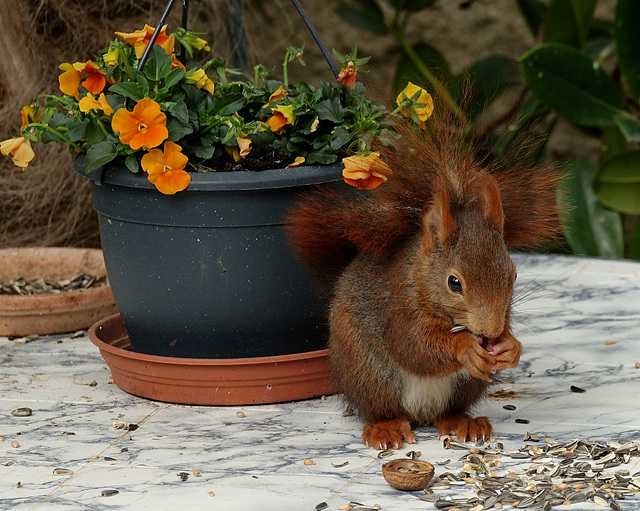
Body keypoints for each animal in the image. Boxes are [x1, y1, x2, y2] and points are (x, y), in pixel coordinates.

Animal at [286, 111, 560, 448]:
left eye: (513, 273)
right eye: (454, 283)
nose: (490, 331)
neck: (421, 278)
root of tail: (420, 414)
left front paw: (510, 346)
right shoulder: (399, 305)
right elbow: (416, 347)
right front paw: (465, 348)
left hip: (463, 387)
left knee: (449, 411)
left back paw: (462, 422)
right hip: (370, 374)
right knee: (380, 408)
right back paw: (387, 428)